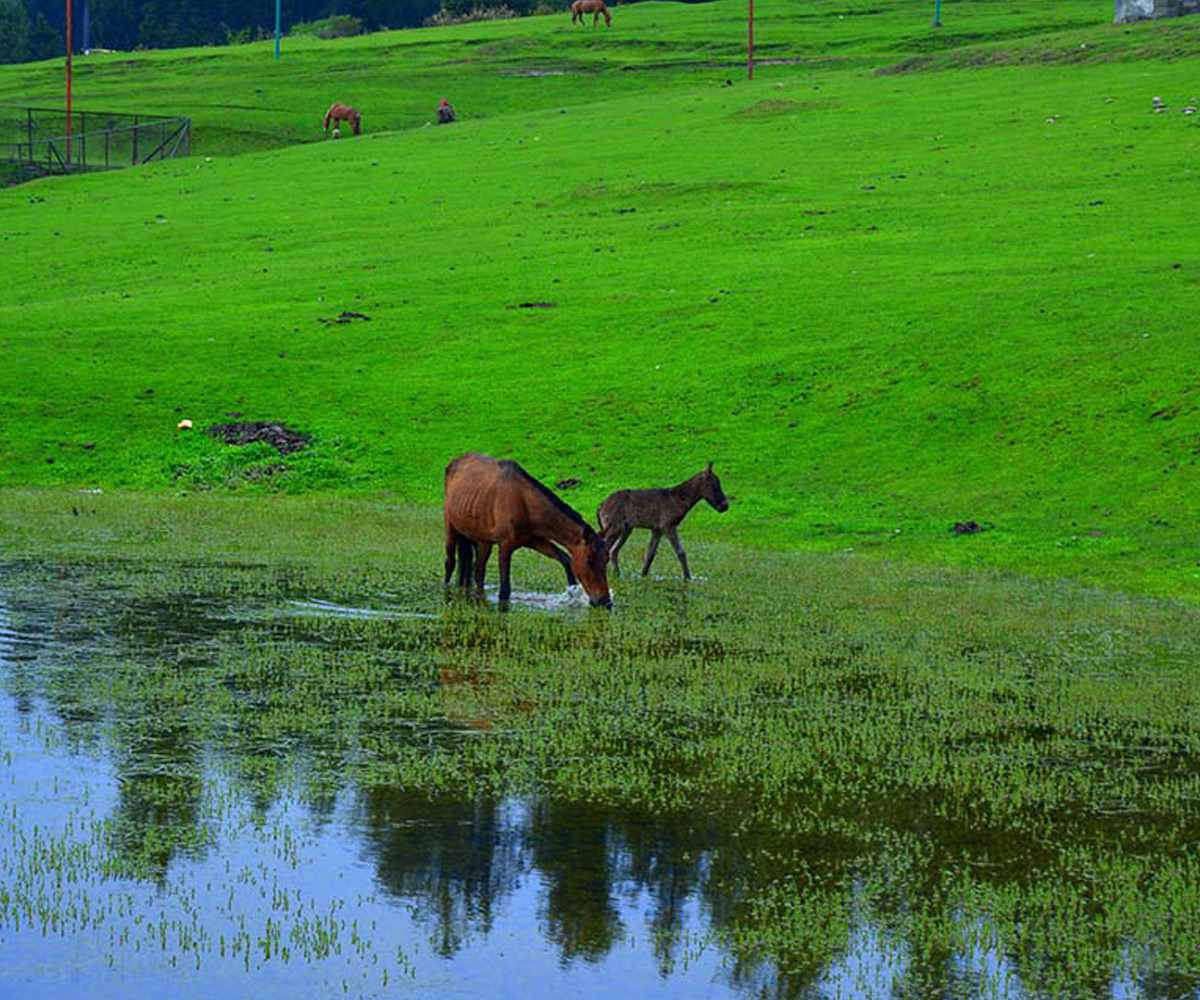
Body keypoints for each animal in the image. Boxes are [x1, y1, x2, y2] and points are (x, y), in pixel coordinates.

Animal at [444, 453, 612, 608]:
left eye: (606, 559)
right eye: (590, 561)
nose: (605, 601)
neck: (525, 503)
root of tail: (454, 462)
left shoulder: (534, 540)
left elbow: (565, 559)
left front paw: (572, 592)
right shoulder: (505, 546)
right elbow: (504, 590)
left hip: (483, 540)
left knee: (477, 571)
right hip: (451, 529)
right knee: (450, 563)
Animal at [596, 463, 728, 580]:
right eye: (714, 486)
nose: (724, 506)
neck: (681, 501)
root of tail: (600, 507)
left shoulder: (657, 529)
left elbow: (650, 554)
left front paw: (643, 575)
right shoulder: (668, 525)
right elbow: (681, 552)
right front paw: (688, 577)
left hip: (626, 529)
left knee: (614, 551)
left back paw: (618, 574)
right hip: (615, 527)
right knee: (606, 549)